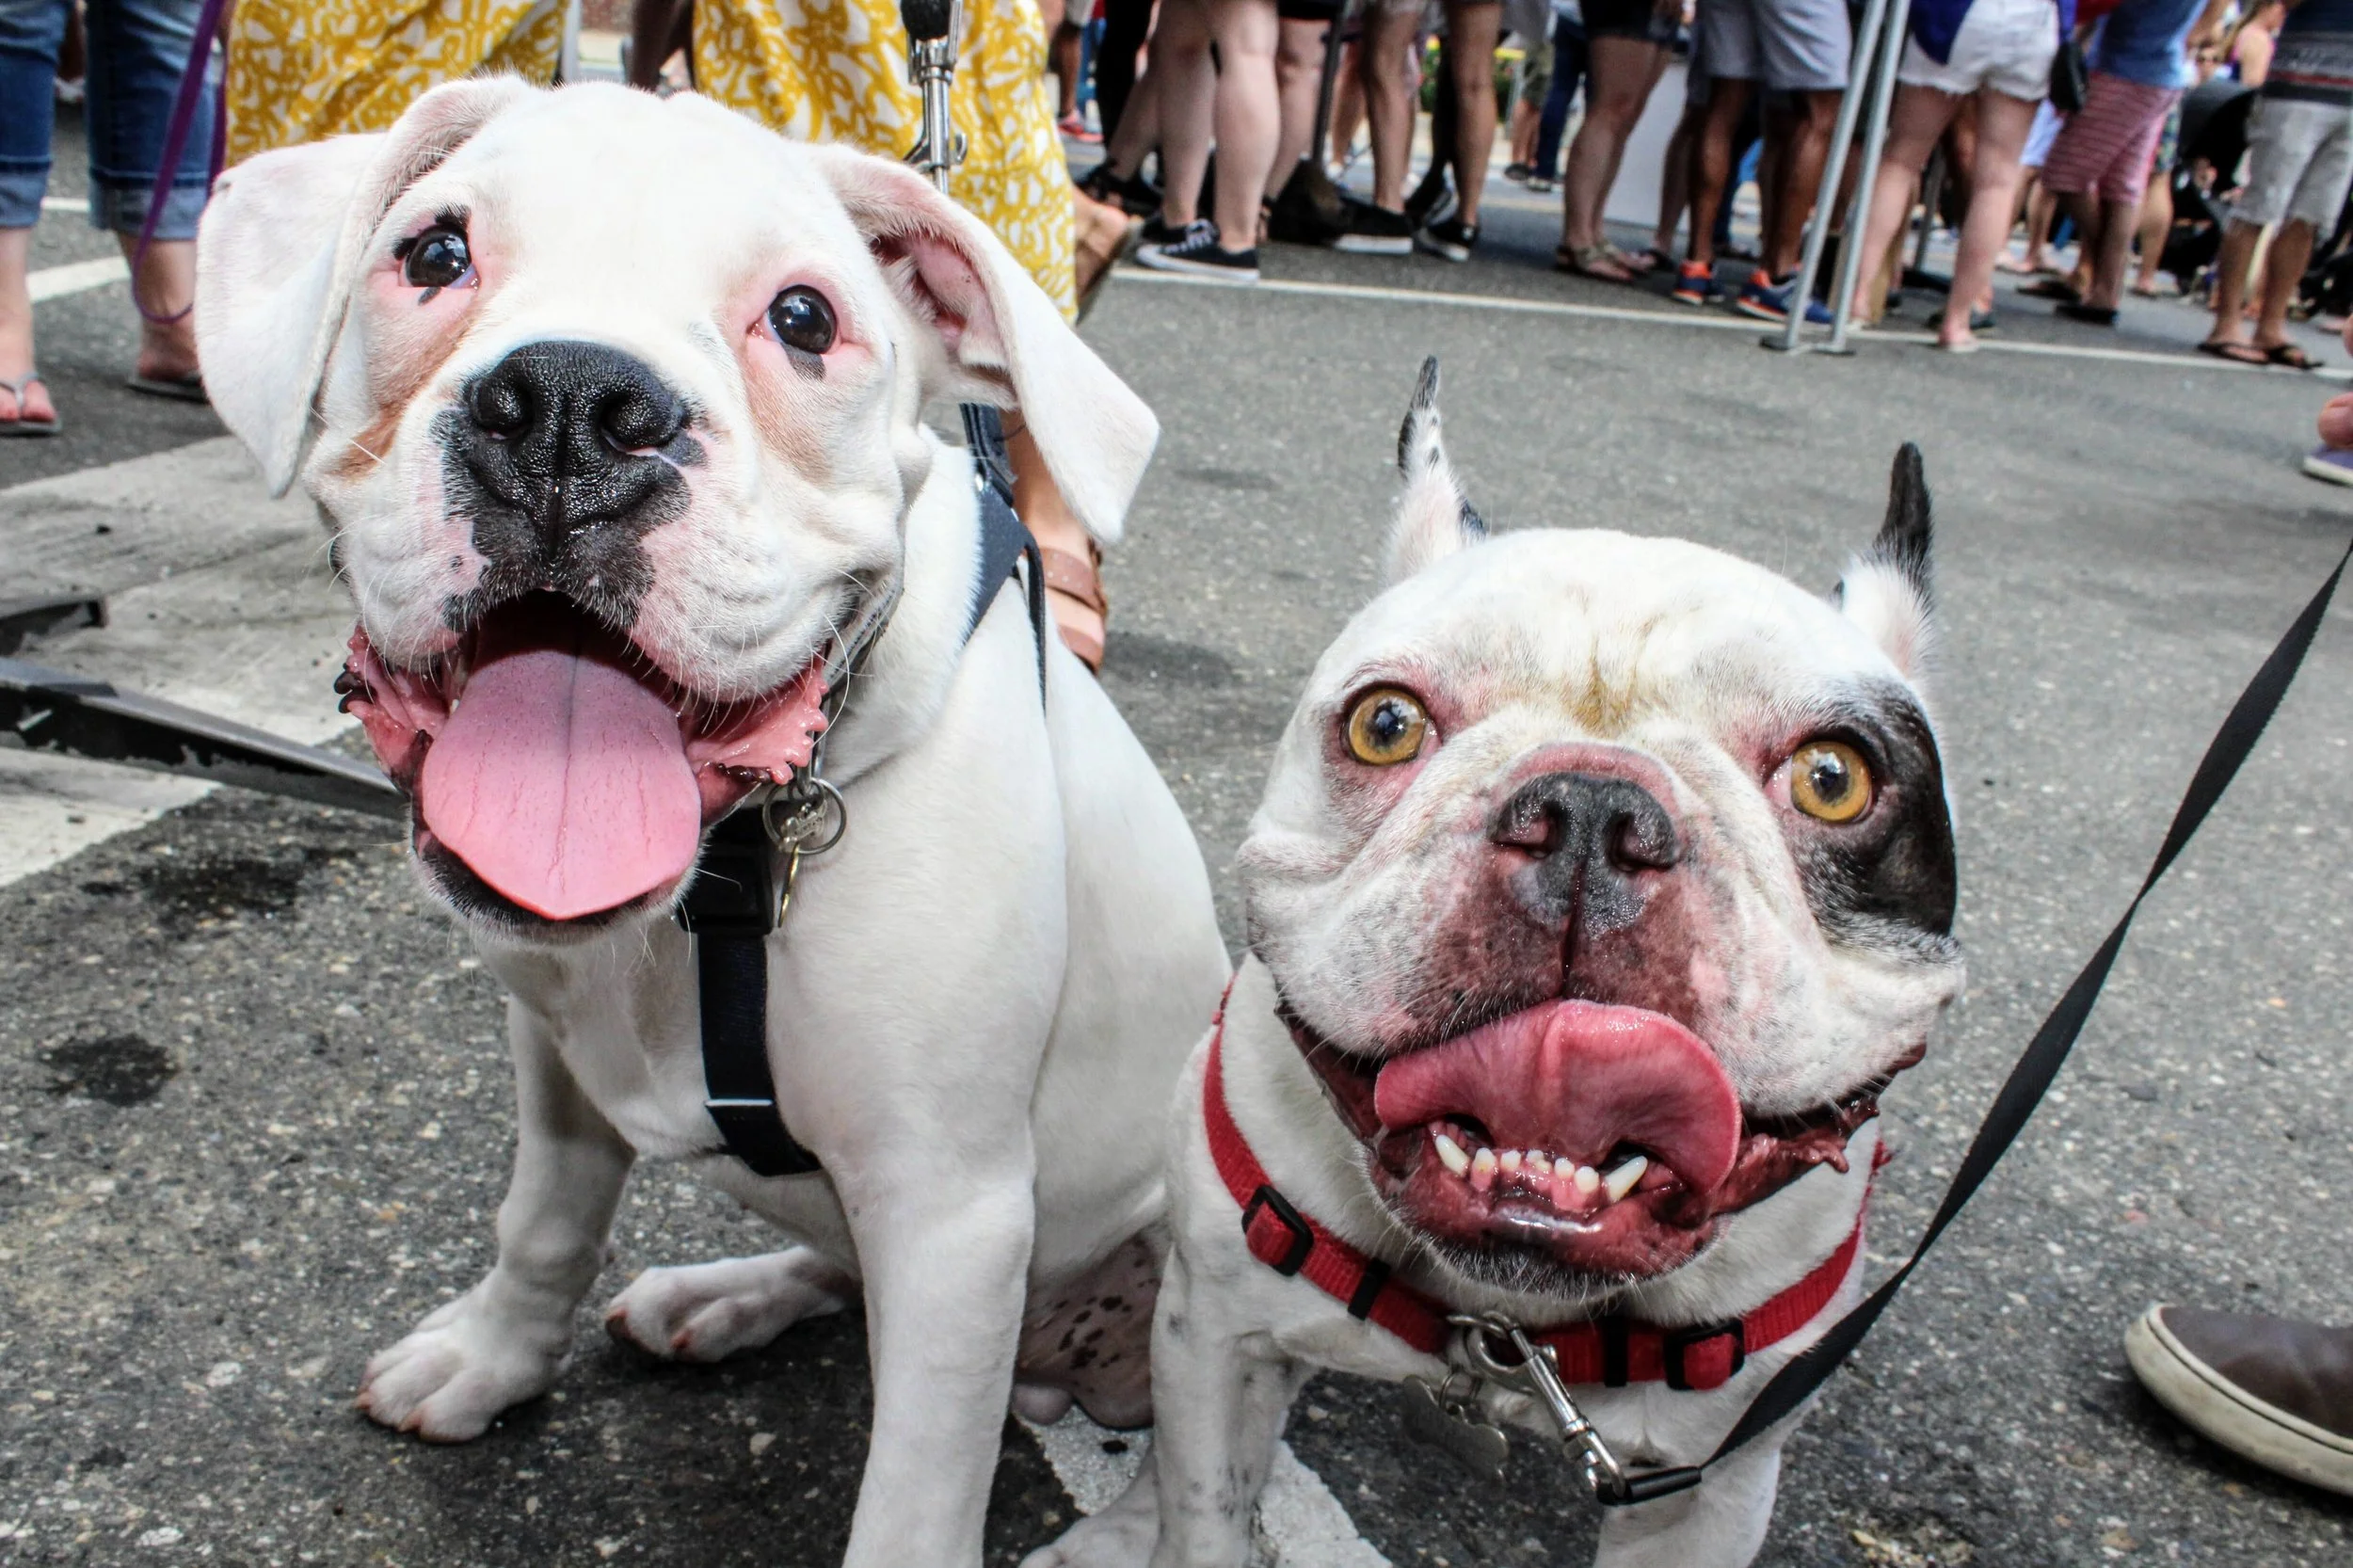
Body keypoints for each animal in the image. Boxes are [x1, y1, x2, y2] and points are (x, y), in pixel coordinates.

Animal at [193, 79, 1230, 1567]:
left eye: (803, 318)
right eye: (434, 254)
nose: (569, 406)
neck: (734, 871)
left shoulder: (953, 1205)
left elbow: (915, 1495)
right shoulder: (556, 1055)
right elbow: (547, 1217)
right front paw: (495, 1359)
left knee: (1213, 1444)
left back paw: (1119, 1534)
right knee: (836, 1267)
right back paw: (725, 1296)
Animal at [1031, 365, 1963, 1568]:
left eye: (1834, 778)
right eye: (1384, 723)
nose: (1593, 811)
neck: (1509, 1328)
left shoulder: (1712, 1481)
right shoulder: (1216, 1340)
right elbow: (1206, 1517)